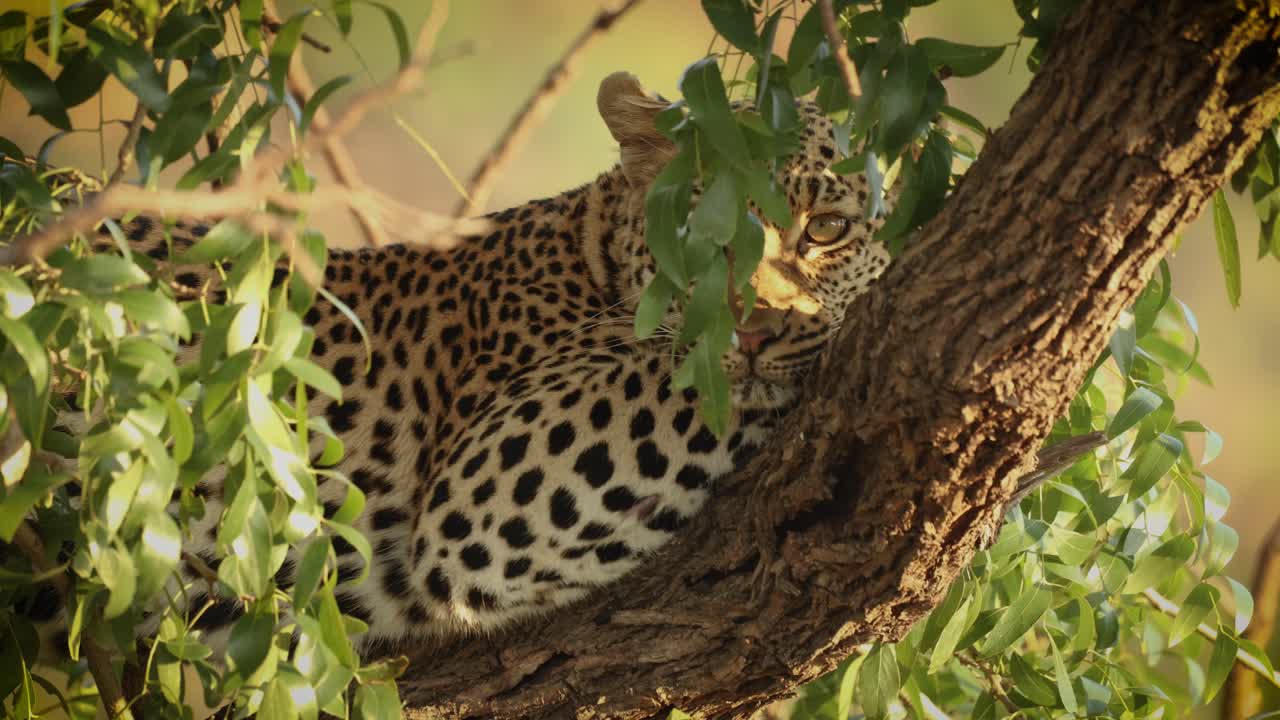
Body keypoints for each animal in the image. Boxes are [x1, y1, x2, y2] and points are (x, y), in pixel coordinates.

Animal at [23, 71, 893, 653]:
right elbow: (681, 379)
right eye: (699, 227)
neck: (594, 256)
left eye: (825, 229)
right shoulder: (485, 480)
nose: (752, 333)